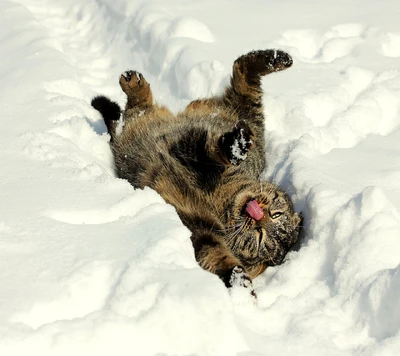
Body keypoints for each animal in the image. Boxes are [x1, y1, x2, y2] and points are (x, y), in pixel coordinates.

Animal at [92, 48, 302, 296]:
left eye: (261, 237)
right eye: (275, 214)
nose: (258, 215)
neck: (222, 199)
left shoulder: (201, 231)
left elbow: (216, 256)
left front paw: (240, 283)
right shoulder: (199, 153)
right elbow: (214, 151)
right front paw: (235, 146)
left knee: (135, 111)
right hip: (242, 117)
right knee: (242, 73)